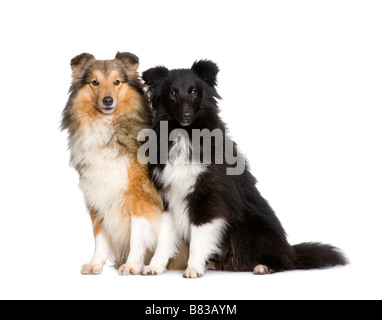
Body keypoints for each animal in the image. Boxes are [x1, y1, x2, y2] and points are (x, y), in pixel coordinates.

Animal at [142, 60, 348, 278]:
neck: (185, 133)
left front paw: (193, 269)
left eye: (193, 91)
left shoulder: (207, 198)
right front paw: (155, 266)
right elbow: (165, 237)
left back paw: (264, 266)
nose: (186, 115)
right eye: (173, 93)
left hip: (253, 227)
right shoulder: (167, 196)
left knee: (283, 262)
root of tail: (291, 251)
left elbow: (199, 235)